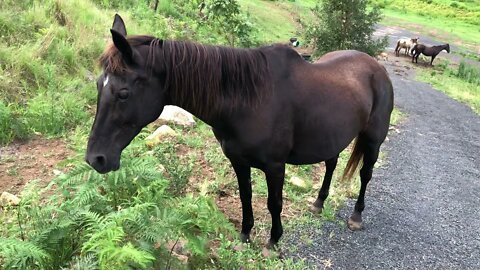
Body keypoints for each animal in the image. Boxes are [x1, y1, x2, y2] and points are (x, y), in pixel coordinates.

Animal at [85, 14, 394, 249]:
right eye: (100, 85)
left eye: (123, 93)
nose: (95, 159)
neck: (249, 100)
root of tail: (376, 67)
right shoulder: (238, 161)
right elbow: (246, 196)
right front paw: (245, 235)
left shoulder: (275, 166)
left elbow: (274, 203)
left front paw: (273, 242)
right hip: (331, 138)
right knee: (331, 163)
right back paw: (318, 203)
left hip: (373, 140)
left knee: (365, 175)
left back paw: (356, 217)